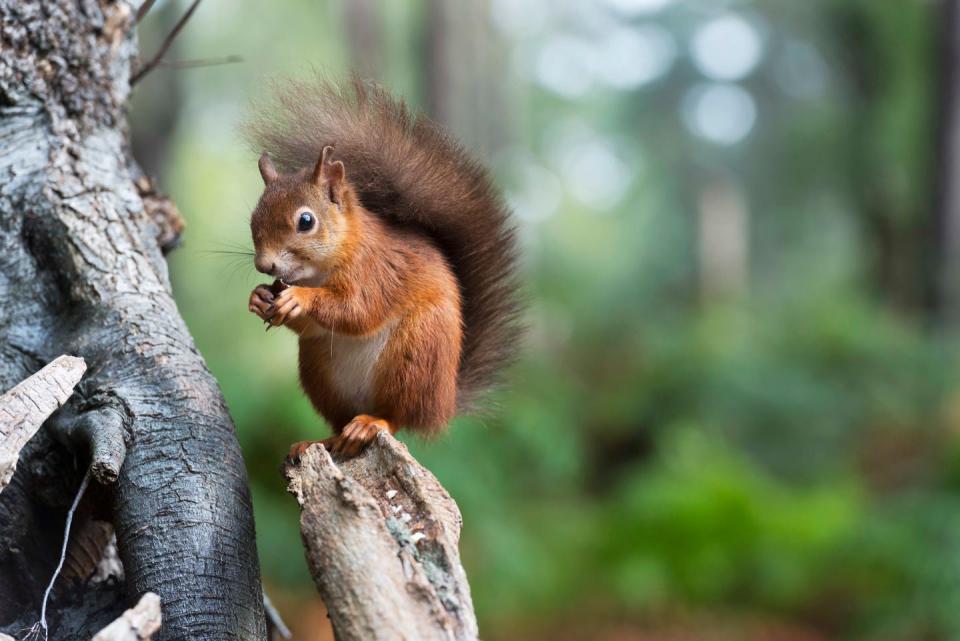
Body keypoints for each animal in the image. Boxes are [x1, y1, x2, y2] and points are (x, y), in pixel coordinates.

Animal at [244, 79, 520, 460]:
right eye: (253, 219)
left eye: (306, 221)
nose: (264, 265)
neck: (321, 270)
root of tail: (444, 403)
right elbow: (313, 325)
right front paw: (259, 298)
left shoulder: (377, 271)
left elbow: (358, 310)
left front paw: (299, 298)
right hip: (319, 370)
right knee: (340, 422)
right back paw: (323, 440)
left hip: (416, 353)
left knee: (399, 416)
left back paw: (371, 424)